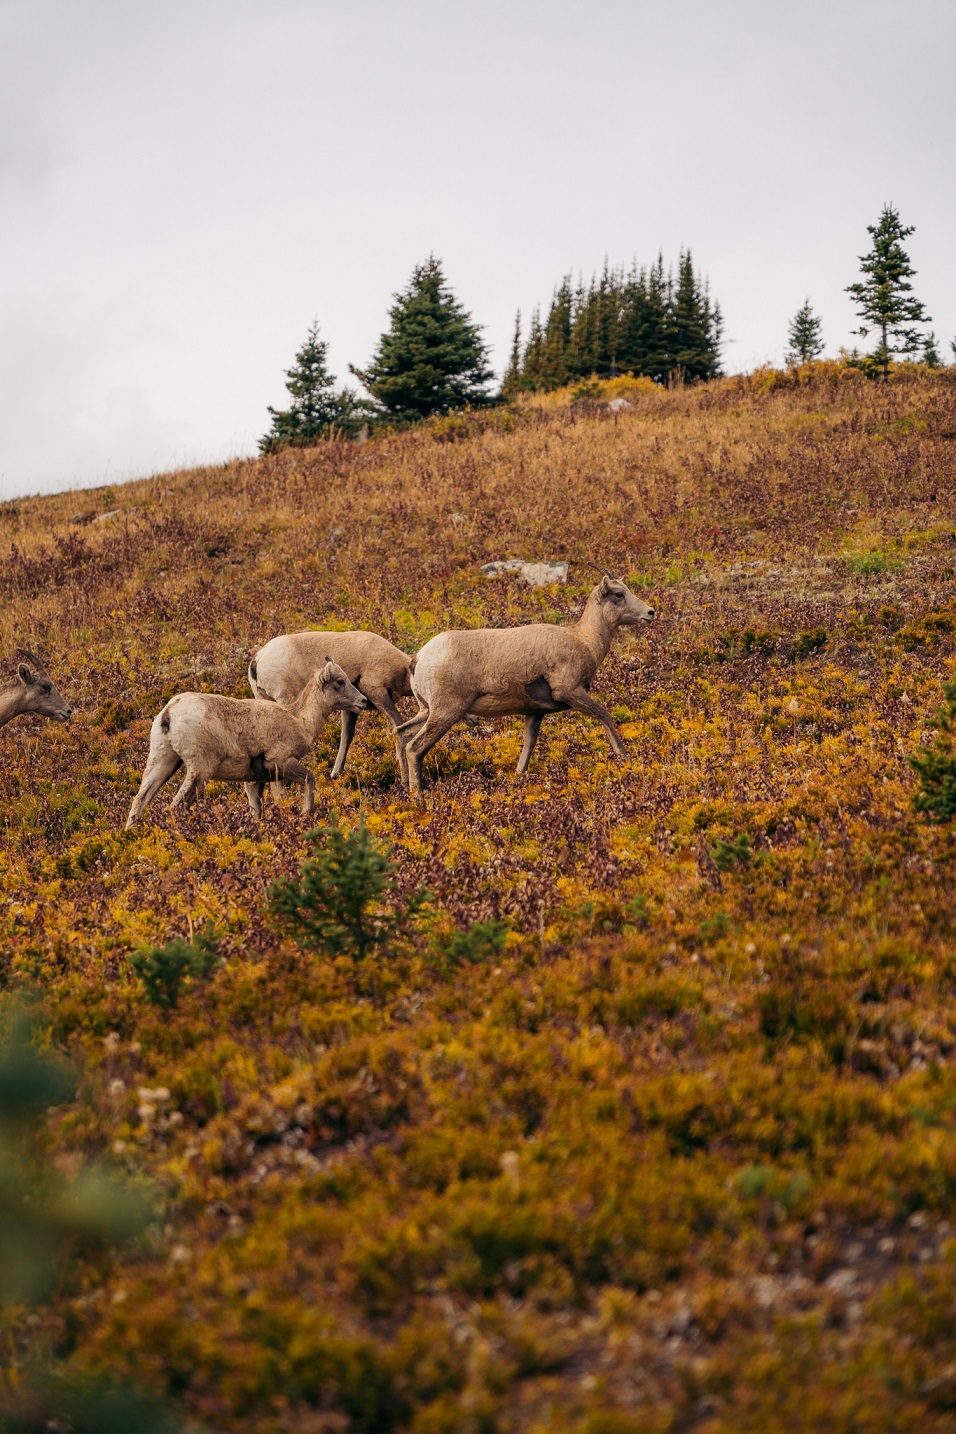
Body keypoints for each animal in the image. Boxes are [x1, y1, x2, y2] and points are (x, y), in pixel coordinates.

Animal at [125, 656, 364, 825]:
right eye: (340, 681)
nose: (362, 701)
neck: (300, 720)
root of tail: (169, 714)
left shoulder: (255, 781)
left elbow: (256, 809)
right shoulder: (280, 762)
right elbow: (308, 779)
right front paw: (307, 813)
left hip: (163, 762)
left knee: (140, 801)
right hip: (200, 770)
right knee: (176, 807)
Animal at [249, 630, 412, 780]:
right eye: (340, 681)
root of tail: (258, 660)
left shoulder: (352, 709)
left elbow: (346, 736)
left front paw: (335, 774)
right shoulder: (377, 693)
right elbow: (398, 723)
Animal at [398, 570, 659, 797]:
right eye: (618, 594)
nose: (650, 612)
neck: (584, 640)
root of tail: (418, 658)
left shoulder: (534, 713)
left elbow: (527, 748)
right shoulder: (570, 691)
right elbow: (605, 716)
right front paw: (624, 757)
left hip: (427, 712)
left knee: (401, 734)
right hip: (445, 713)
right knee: (414, 748)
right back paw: (419, 793)